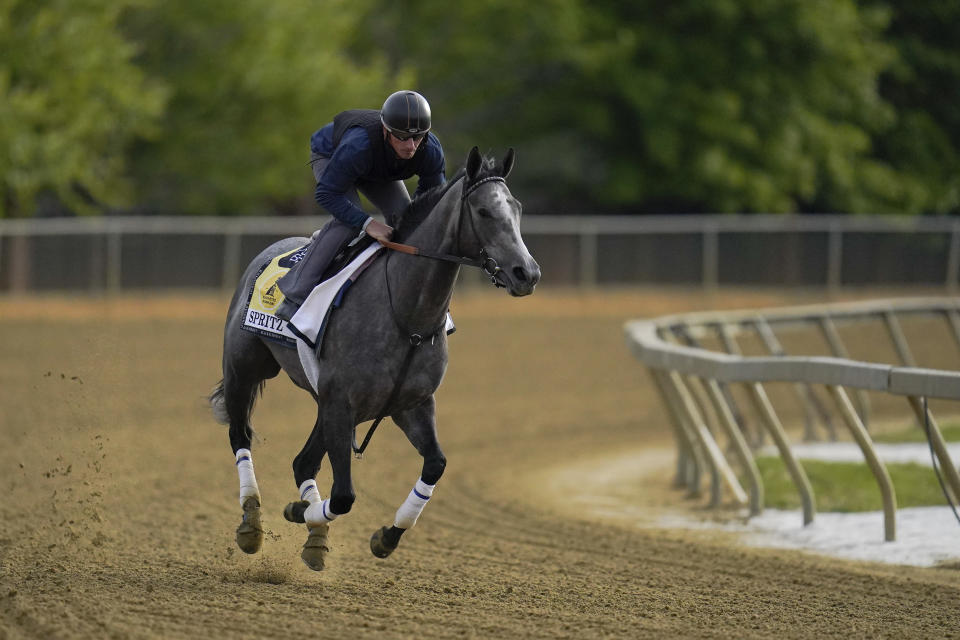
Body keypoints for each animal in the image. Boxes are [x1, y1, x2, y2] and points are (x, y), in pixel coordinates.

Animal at [210, 146, 540, 568]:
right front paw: (306, 517)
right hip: (245, 370)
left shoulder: (410, 404)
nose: (526, 273)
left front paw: (384, 535)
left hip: (326, 403)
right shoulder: (342, 404)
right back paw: (252, 522)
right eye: (483, 211)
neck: (408, 317)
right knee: (241, 435)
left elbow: (435, 465)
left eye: (517, 208)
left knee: (303, 461)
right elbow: (344, 496)